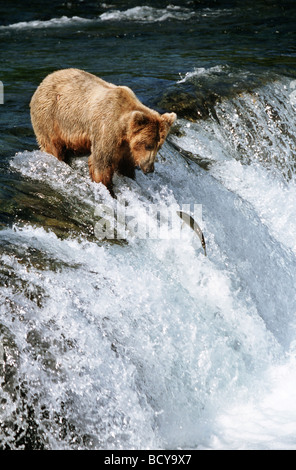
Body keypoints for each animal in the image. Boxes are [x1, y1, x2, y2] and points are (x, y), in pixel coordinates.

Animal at [30, 67, 176, 191]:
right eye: (148, 145)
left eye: (159, 146)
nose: (149, 168)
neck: (123, 130)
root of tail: (46, 79)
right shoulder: (106, 129)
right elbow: (101, 163)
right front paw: (108, 189)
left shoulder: (125, 146)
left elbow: (125, 165)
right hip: (50, 117)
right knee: (53, 146)